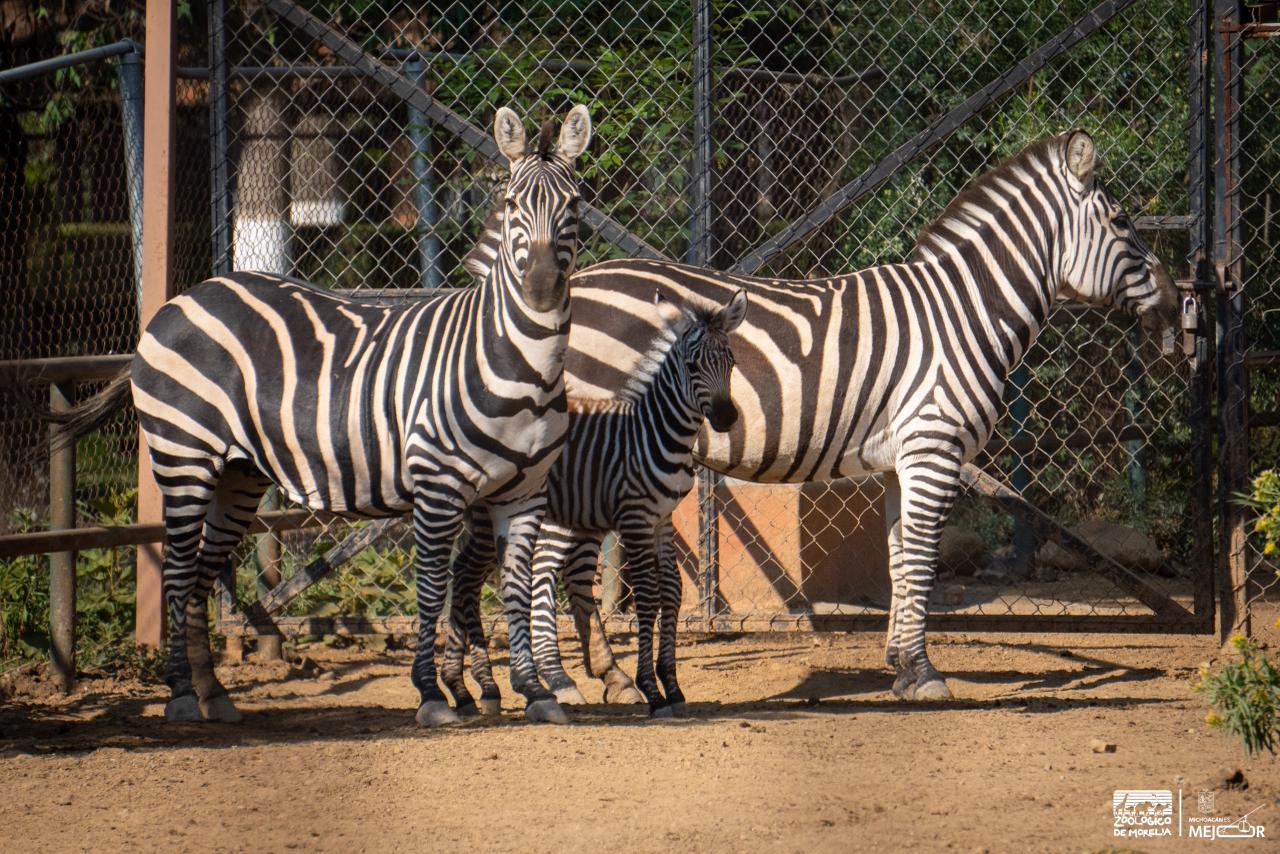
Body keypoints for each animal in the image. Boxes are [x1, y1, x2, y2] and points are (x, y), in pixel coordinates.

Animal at [52, 105, 593, 726]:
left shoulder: (523, 493)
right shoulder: (439, 484)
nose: (541, 289)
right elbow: (432, 588)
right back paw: (182, 696)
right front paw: (432, 695)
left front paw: (537, 693)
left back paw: (214, 695)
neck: (516, 361)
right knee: (177, 573)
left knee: (201, 577)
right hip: (184, 457)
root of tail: (181, 300)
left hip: (239, 473)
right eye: (510, 203)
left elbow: (516, 593)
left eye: (575, 203)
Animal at [442, 289, 747, 717]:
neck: (653, 431)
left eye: (731, 362)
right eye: (691, 366)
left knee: (465, 576)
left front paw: (672, 686)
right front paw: (651, 691)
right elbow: (648, 595)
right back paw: (474, 686)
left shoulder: (662, 519)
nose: (725, 417)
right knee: (469, 577)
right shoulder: (635, 517)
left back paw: (473, 689)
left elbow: (672, 590)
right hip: (491, 512)